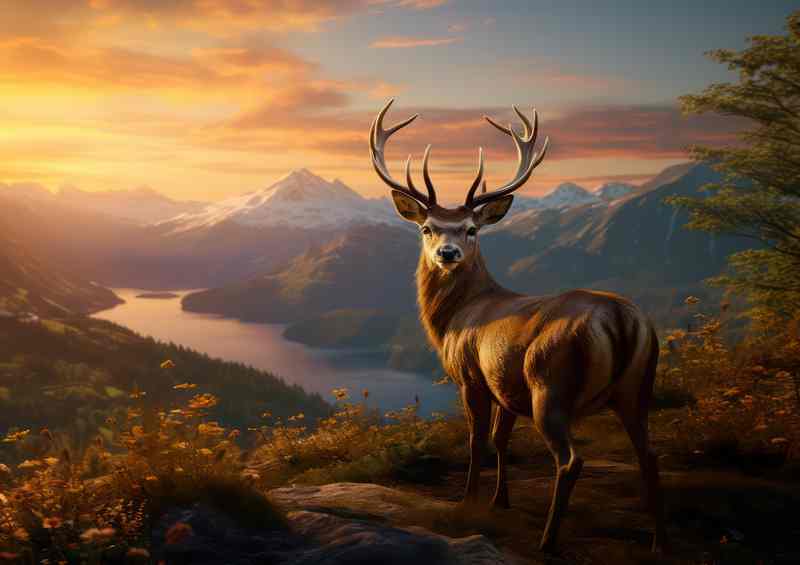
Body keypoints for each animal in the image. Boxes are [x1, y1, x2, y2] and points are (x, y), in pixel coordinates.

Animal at [368, 99, 669, 553]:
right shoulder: (505, 385)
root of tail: (622, 321)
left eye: (471, 229)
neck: (455, 317)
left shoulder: (471, 377)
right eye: (426, 227)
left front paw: (469, 502)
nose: (448, 253)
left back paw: (548, 540)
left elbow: (476, 440)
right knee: (649, 454)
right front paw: (500, 501)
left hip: (550, 384)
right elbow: (501, 439)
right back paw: (658, 542)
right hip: (639, 386)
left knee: (571, 460)